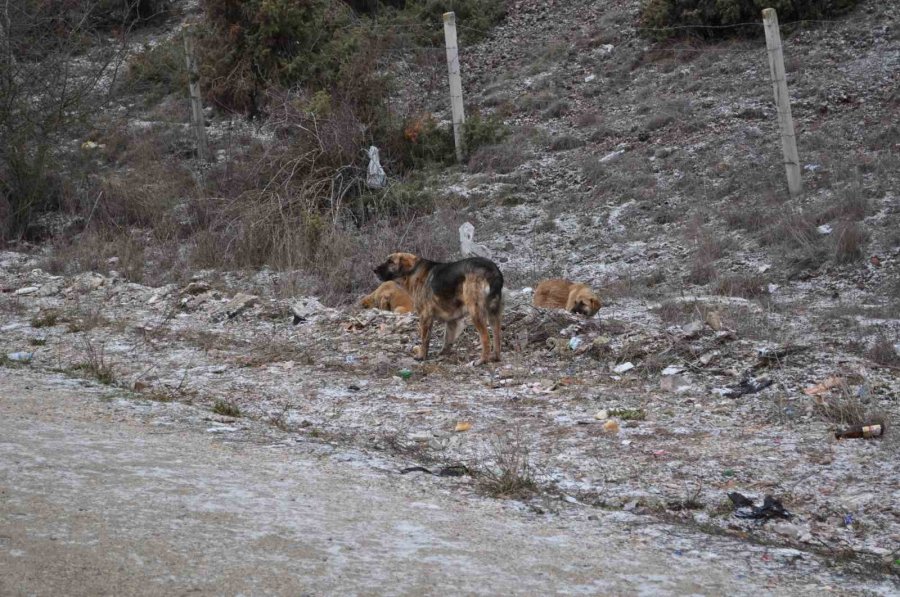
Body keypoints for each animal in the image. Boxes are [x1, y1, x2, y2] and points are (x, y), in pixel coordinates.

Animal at [370, 251, 502, 364]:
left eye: (391, 262)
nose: (374, 270)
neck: (413, 272)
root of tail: (491, 269)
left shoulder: (425, 315)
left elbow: (425, 339)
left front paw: (422, 356)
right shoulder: (452, 320)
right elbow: (447, 338)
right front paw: (443, 354)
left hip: (475, 312)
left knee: (485, 337)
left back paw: (482, 360)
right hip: (493, 313)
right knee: (496, 334)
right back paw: (495, 356)